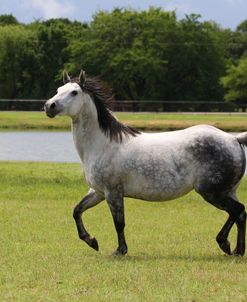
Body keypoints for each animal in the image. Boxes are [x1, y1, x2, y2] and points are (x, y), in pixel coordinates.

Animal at [44, 69, 247, 256]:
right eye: (58, 89)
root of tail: (233, 139)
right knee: (241, 215)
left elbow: (119, 223)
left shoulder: (112, 193)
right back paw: (238, 250)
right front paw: (92, 241)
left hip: (211, 192)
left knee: (237, 210)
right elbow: (77, 211)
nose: (49, 106)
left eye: (74, 92)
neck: (102, 144)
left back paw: (224, 243)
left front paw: (120, 250)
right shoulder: (98, 192)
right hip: (228, 190)